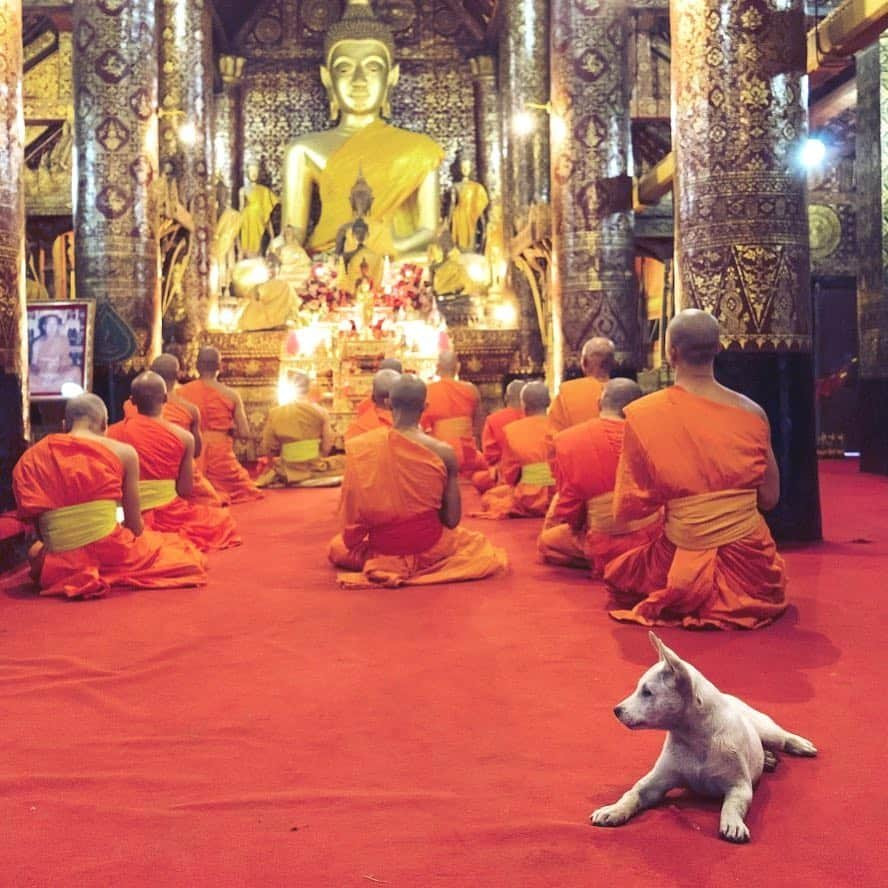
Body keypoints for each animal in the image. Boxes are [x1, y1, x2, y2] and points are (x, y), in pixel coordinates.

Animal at [592, 628, 816, 844]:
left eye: (647, 692)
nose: (616, 710)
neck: (695, 738)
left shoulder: (740, 787)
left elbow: (732, 805)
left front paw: (732, 823)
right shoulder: (655, 783)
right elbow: (633, 793)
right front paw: (613, 810)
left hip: (766, 729)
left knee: (782, 737)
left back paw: (799, 745)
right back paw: (768, 758)